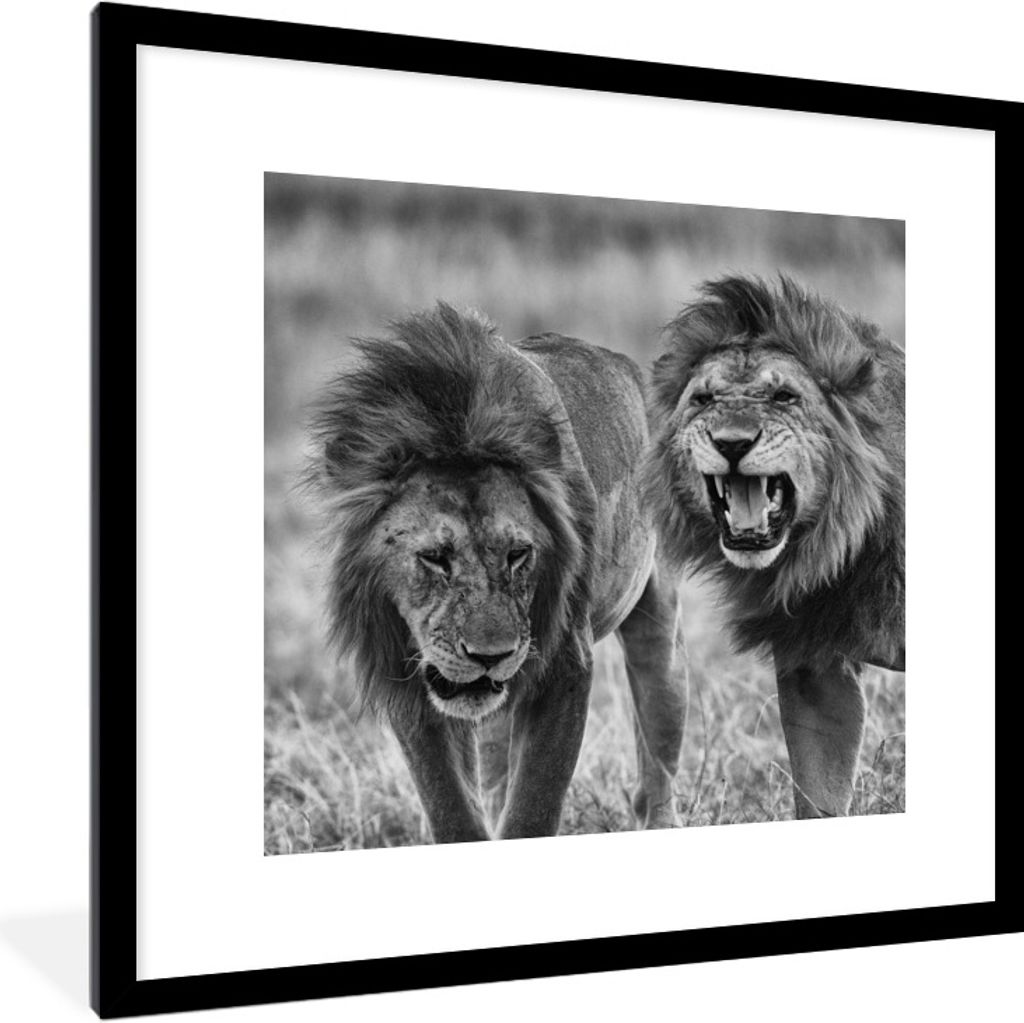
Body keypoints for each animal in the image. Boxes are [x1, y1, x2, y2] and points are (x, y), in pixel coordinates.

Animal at [308, 303, 688, 842]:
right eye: (434, 557)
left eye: (518, 554)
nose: (492, 656)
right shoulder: (405, 671)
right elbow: (450, 806)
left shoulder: (564, 664)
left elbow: (534, 806)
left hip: (659, 636)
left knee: (657, 751)